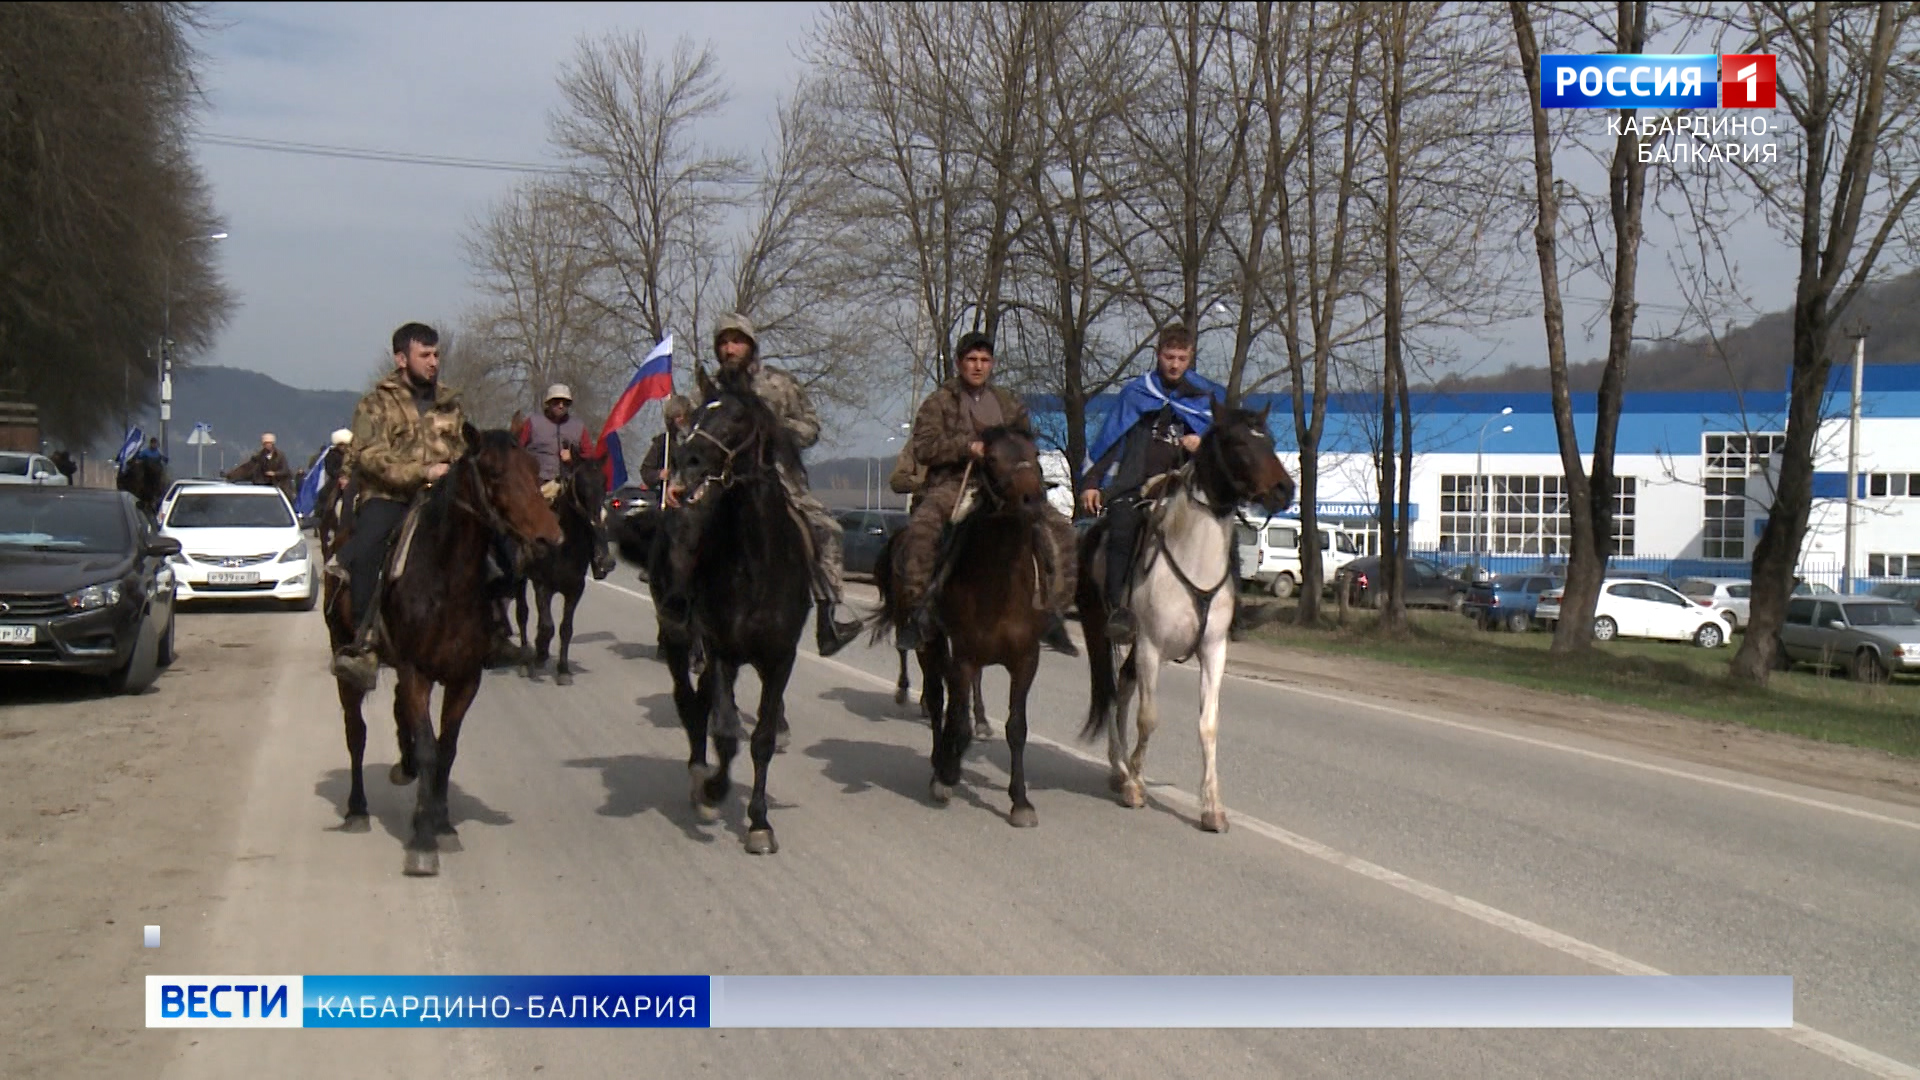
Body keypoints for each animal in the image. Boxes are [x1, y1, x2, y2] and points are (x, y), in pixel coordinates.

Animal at [514, 453, 602, 680]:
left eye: (603, 481)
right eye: (579, 481)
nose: (595, 518)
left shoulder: (575, 589)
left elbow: (565, 628)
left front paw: (563, 669)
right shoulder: (542, 585)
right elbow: (547, 626)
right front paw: (540, 655)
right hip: (520, 578)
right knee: (522, 614)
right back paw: (526, 659)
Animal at [664, 365, 814, 853]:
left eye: (735, 420)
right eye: (694, 418)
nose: (686, 462)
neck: (754, 563)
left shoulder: (779, 658)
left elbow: (762, 738)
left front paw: (759, 823)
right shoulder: (720, 651)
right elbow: (726, 733)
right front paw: (715, 788)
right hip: (680, 641)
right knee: (690, 705)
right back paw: (699, 779)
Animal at [875, 422, 1059, 822]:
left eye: (1034, 452)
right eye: (991, 458)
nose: (1032, 500)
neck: (1000, 585)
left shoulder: (1026, 660)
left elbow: (1016, 727)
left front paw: (1020, 801)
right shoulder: (962, 658)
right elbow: (956, 720)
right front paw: (946, 773)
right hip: (928, 643)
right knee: (935, 698)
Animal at [1075, 403, 1297, 834]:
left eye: (1271, 440)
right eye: (1237, 442)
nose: (1285, 490)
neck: (1193, 554)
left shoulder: (1213, 650)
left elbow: (1208, 724)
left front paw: (1212, 808)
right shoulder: (1150, 645)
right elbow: (1148, 718)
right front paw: (1137, 787)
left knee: (1122, 687)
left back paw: (1119, 770)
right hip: (1102, 630)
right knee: (1110, 690)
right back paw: (1121, 770)